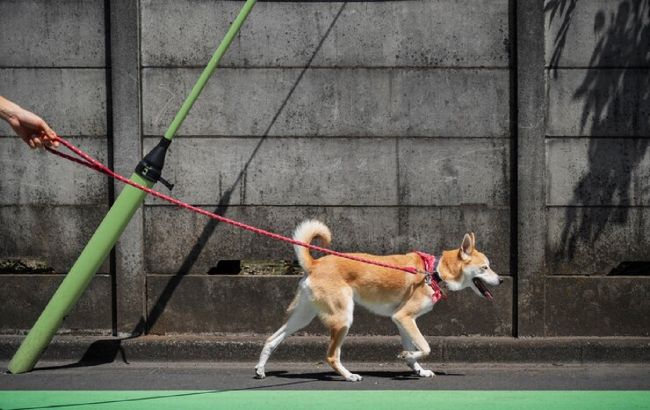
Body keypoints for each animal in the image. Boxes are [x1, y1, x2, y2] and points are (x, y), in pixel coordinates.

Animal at [253, 219, 502, 382]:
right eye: (485, 267)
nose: (500, 280)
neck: (434, 272)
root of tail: (314, 264)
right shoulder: (404, 318)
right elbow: (426, 347)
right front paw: (407, 356)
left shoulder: (402, 321)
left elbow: (415, 349)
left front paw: (417, 368)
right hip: (343, 319)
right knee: (332, 356)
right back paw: (349, 375)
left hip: (303, 318)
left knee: (271, 339)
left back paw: (260, 369)